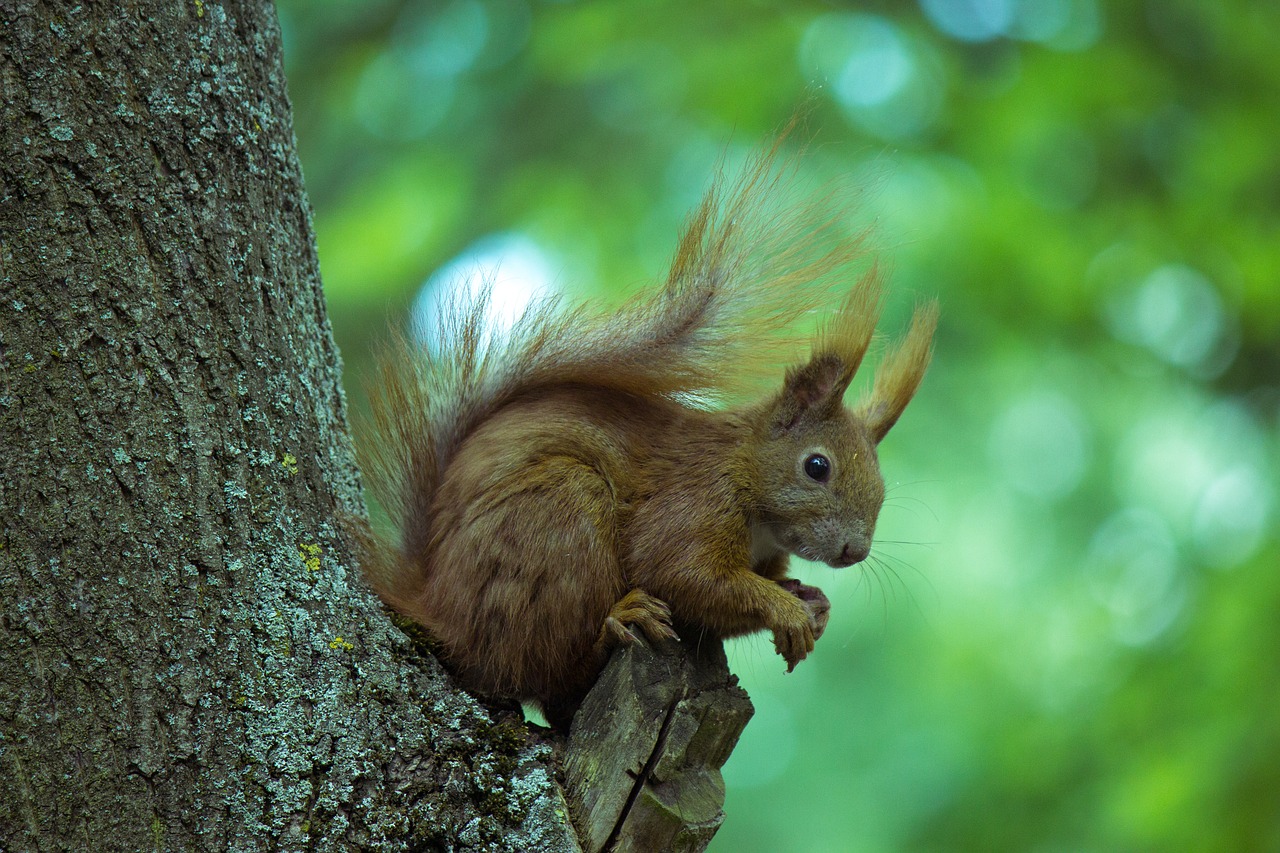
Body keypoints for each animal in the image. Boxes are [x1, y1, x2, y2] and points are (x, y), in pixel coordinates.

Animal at [360, 142, 942, 727]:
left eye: (883, 488)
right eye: (816, 466)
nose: (854, 551)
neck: (746, 482)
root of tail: (437, 606)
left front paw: (812, 603)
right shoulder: (690, 508)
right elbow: (685, 576)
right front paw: (788, 609)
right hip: (554, 516)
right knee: (536, 672)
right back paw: (619, 621)